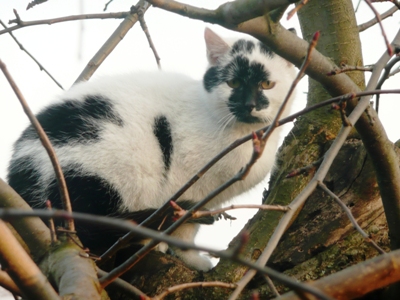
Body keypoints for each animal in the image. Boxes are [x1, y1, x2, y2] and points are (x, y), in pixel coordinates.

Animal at [4, 28, 296, 272]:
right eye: (233, 83)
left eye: (267, 84)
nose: (249, 104)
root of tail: (19, 176)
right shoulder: (189, 186)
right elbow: (186, 227)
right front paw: (192, 258)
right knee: (88, 227)